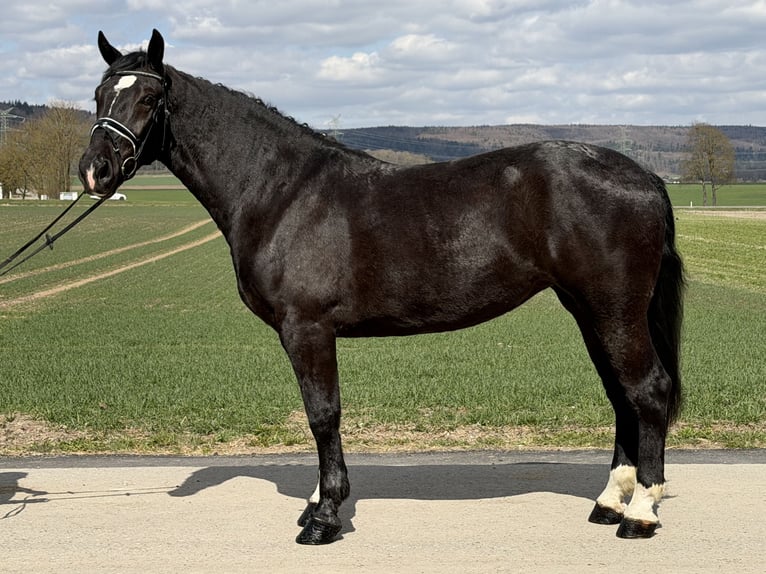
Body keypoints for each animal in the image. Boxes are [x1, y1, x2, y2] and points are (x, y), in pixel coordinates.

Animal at [79, 30, 684, 545]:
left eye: (149, 100)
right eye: (99, 94)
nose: (95, 170)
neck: (284, 192)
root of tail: (645, 177)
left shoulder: (307, 329)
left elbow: (322, 414)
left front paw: (324, 518)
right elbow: (320, 417)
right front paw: (317, 503)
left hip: (614, 309)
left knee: (647, 391)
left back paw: (640, 513)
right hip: (589, 309)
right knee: (622, 395)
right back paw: (609, 502)